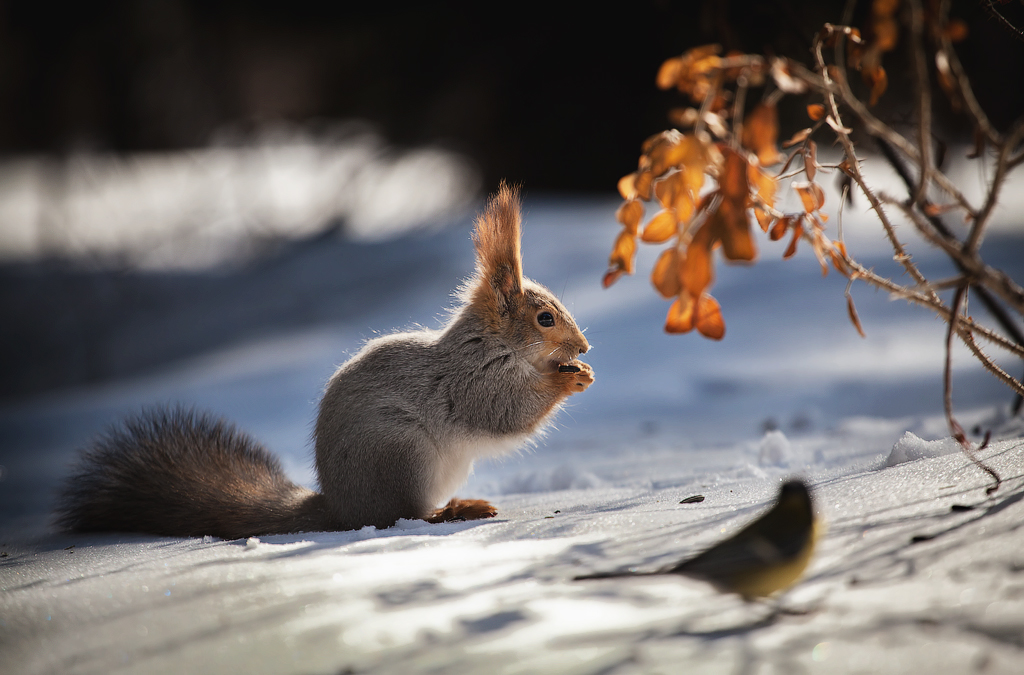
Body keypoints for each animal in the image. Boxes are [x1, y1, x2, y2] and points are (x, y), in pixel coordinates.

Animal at [56, 183, 598, 536]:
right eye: (545, 319)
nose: (585, 349)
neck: (494, 344)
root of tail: (339, 507)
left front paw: (579, 371)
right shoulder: (473, 381)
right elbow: (505, 413)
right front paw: (567, 380)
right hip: (398, 456)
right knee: (397, 516)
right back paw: (450, 513)